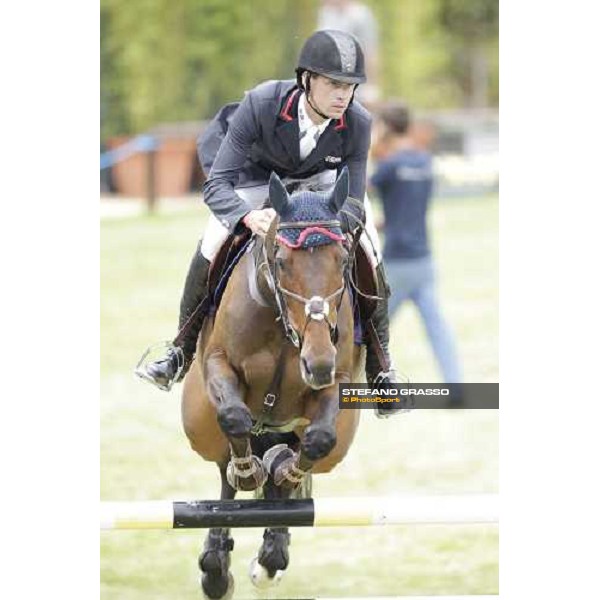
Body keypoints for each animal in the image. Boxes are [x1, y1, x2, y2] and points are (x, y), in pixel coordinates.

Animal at [180, 168, 364, 596]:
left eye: (343, 259)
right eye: (281, 262)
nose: (317, 362)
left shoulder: (336, 380)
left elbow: (318, 439)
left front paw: (285, 471)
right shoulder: (218, 364)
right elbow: (233, 418)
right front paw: (248, 472)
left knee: (293, 460)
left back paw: (272, 550)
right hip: (199, 424)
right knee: (224, 465)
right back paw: (216, 564)